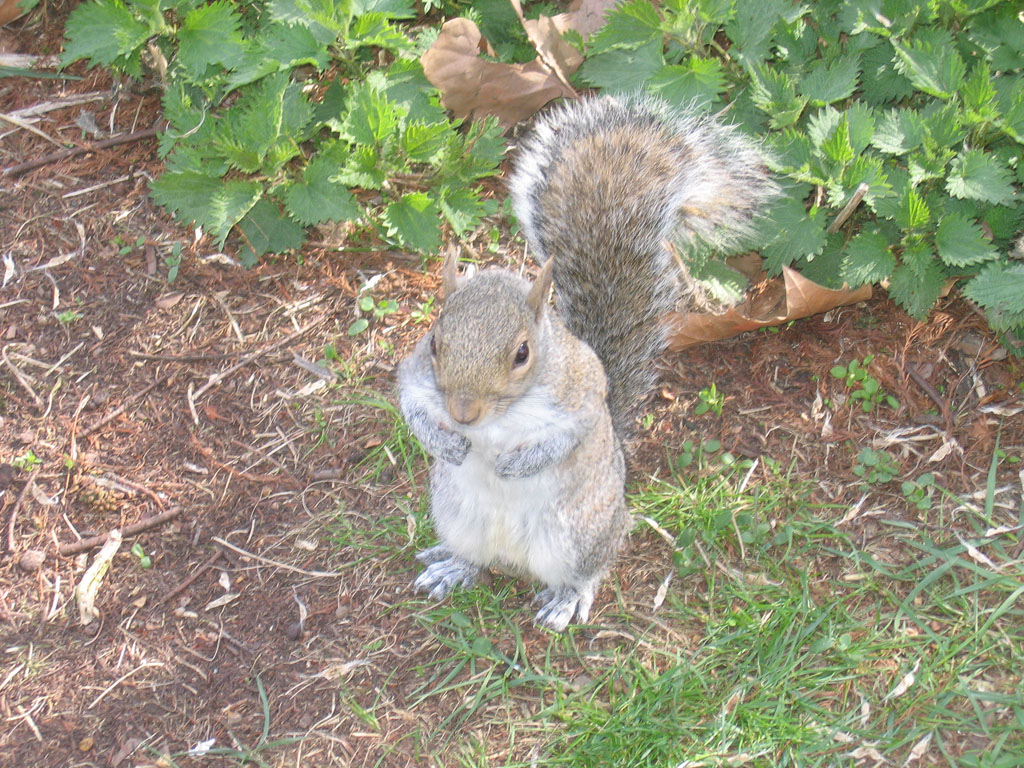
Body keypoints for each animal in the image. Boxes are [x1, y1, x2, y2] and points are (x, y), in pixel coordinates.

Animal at [395, 94, 770, 630]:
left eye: (522, 353)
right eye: (434, 343)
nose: (463, 415)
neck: (499, 418)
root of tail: (515, 560)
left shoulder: (582, 395)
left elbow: (570, 433)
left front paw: (517, 463)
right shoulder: (415, 376)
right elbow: (409, 402)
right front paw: (441, 441)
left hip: (578, 535)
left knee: (590, 569)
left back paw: (567, 598)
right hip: (456, 517)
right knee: (476, 558)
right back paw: (454, 567)